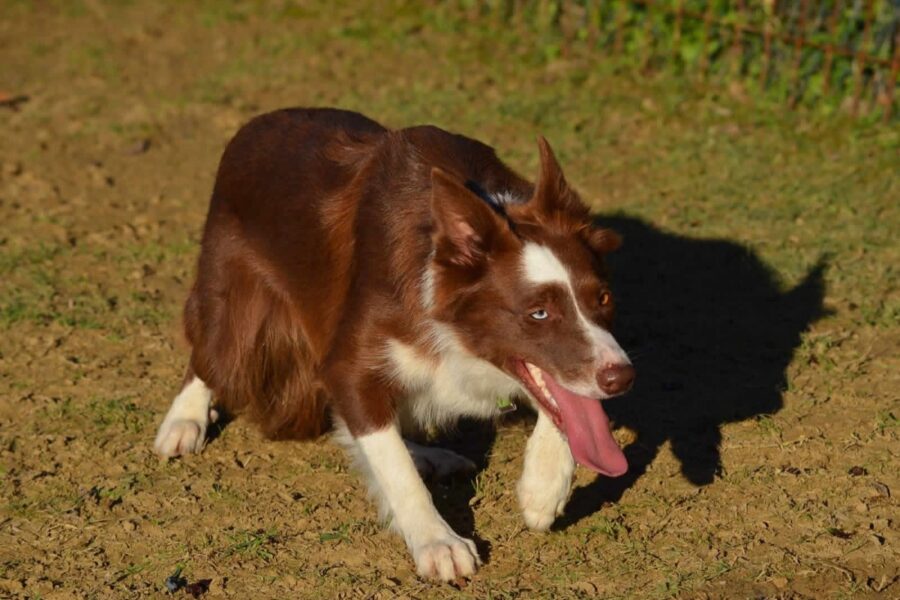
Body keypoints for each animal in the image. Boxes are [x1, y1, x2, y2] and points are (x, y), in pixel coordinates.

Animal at [155, 109, 632, 580]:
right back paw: (185, 420)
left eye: (605, 298)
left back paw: (430, 455)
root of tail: (254, 124)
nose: (623, 379)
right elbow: (393, 463)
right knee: (208, 355)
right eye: (538, 313)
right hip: (235, 303)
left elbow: (568, 405)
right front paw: (439, 542)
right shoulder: (348, 364)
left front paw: (543, 486)